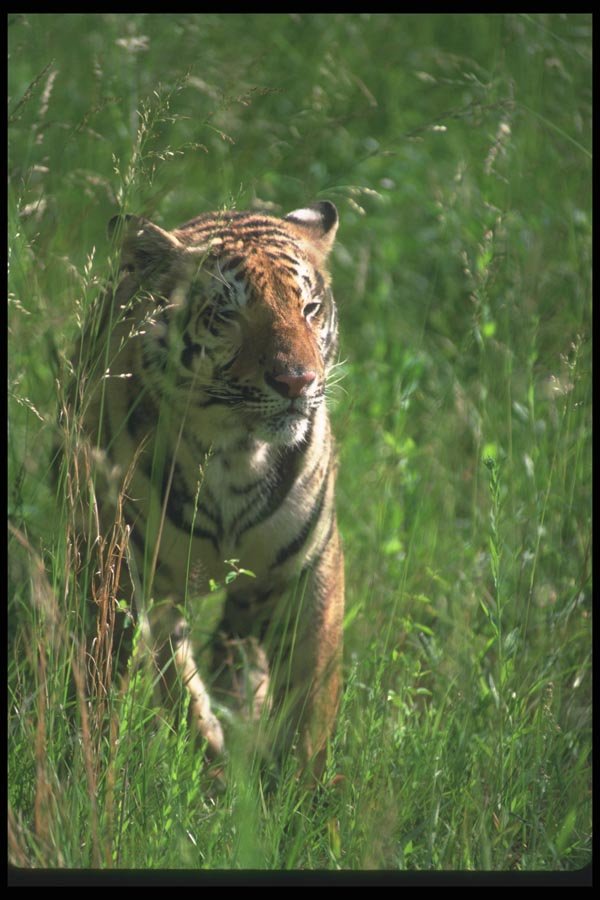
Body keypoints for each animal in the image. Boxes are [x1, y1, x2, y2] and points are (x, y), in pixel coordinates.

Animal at [71, 201, 344, 779]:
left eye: (309, 308)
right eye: (228, 315)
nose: (298, 382)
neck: (237, 453)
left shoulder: (309, 566)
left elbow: (311, 699)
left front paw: (299, 790)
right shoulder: (124, 567)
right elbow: (139, 671)